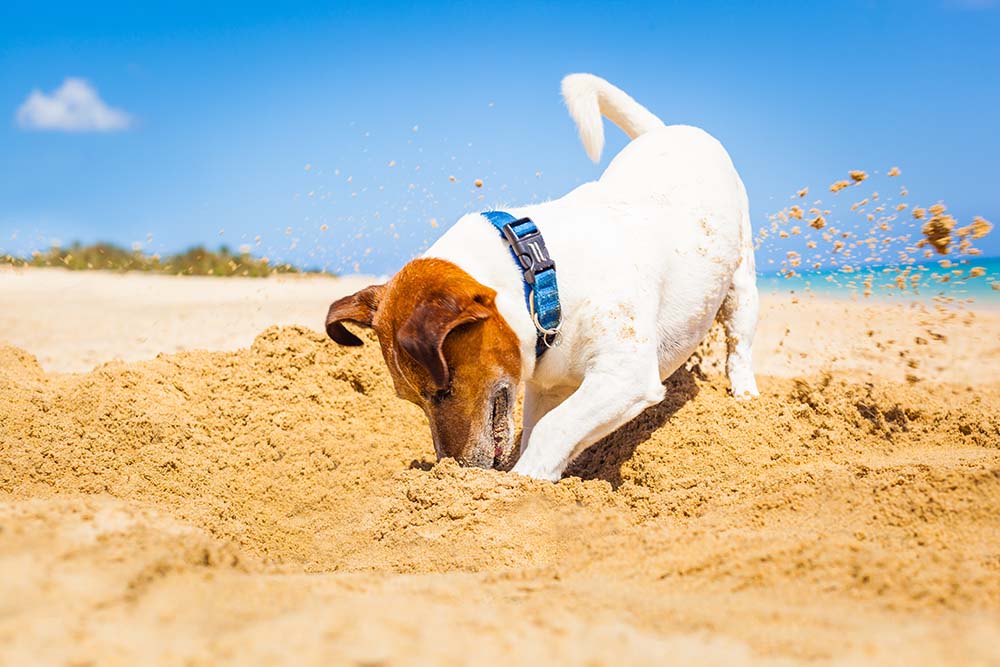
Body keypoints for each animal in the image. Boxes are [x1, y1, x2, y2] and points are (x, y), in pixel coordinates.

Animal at [326, 72, 756, 480]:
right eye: (412, 399)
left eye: (444, 391)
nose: (454, 468)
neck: (540, 280)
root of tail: (666, 130)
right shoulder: (546, 386)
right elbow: (541, 431)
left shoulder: (625, 373)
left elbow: (554, 429)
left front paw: (524, 479)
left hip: (742, 281)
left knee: (739, 343)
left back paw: (745, 396)